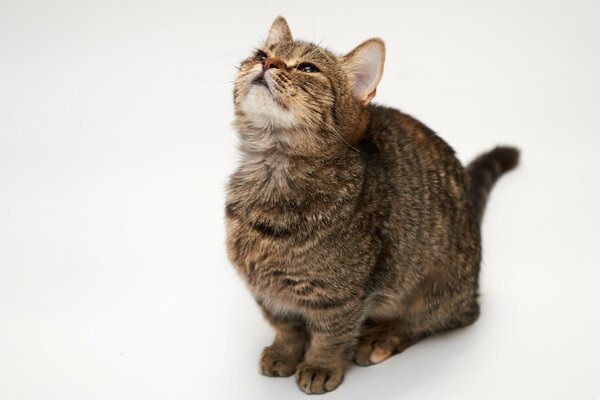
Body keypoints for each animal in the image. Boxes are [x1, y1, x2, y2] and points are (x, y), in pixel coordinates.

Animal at [225, 16, 520, 394]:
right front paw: (284, 352)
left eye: (307, 68)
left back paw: (381, 338)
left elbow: (330, 335)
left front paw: (319, 365)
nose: (268, 63)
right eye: (261, 54)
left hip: (435, 286)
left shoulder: (342, 295)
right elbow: (285, 325)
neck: (272, 173)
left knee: (442, 318)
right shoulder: (266, 288)